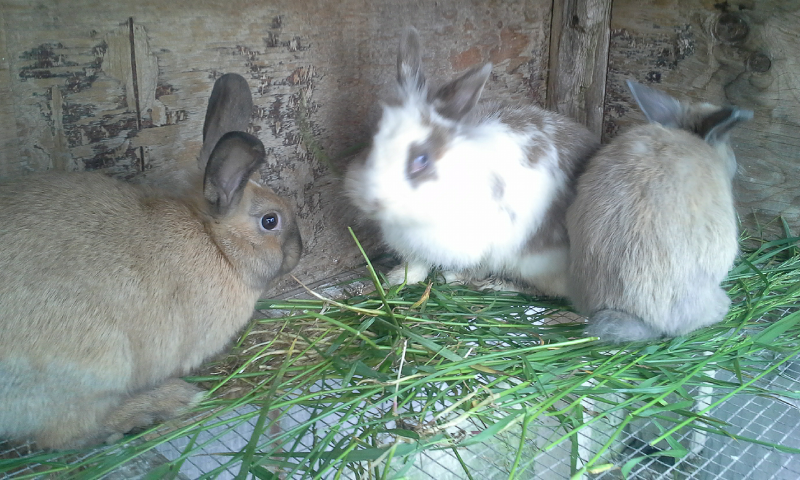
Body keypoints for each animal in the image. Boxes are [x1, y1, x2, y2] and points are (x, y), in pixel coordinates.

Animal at [0, 73, 302, 450]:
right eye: (270, 221)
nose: (299, 250)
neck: (216, 244)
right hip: (99, 365)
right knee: (67, 435)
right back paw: (167, 402)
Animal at [344, 27, 599, 296]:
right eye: (373, 139)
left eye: (422, 159)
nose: (370, 200)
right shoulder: (414, 246)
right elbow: (416, 264)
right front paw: (395, 279)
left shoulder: (483, 247)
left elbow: (472, 267)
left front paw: (453, 277)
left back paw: (494, 284)